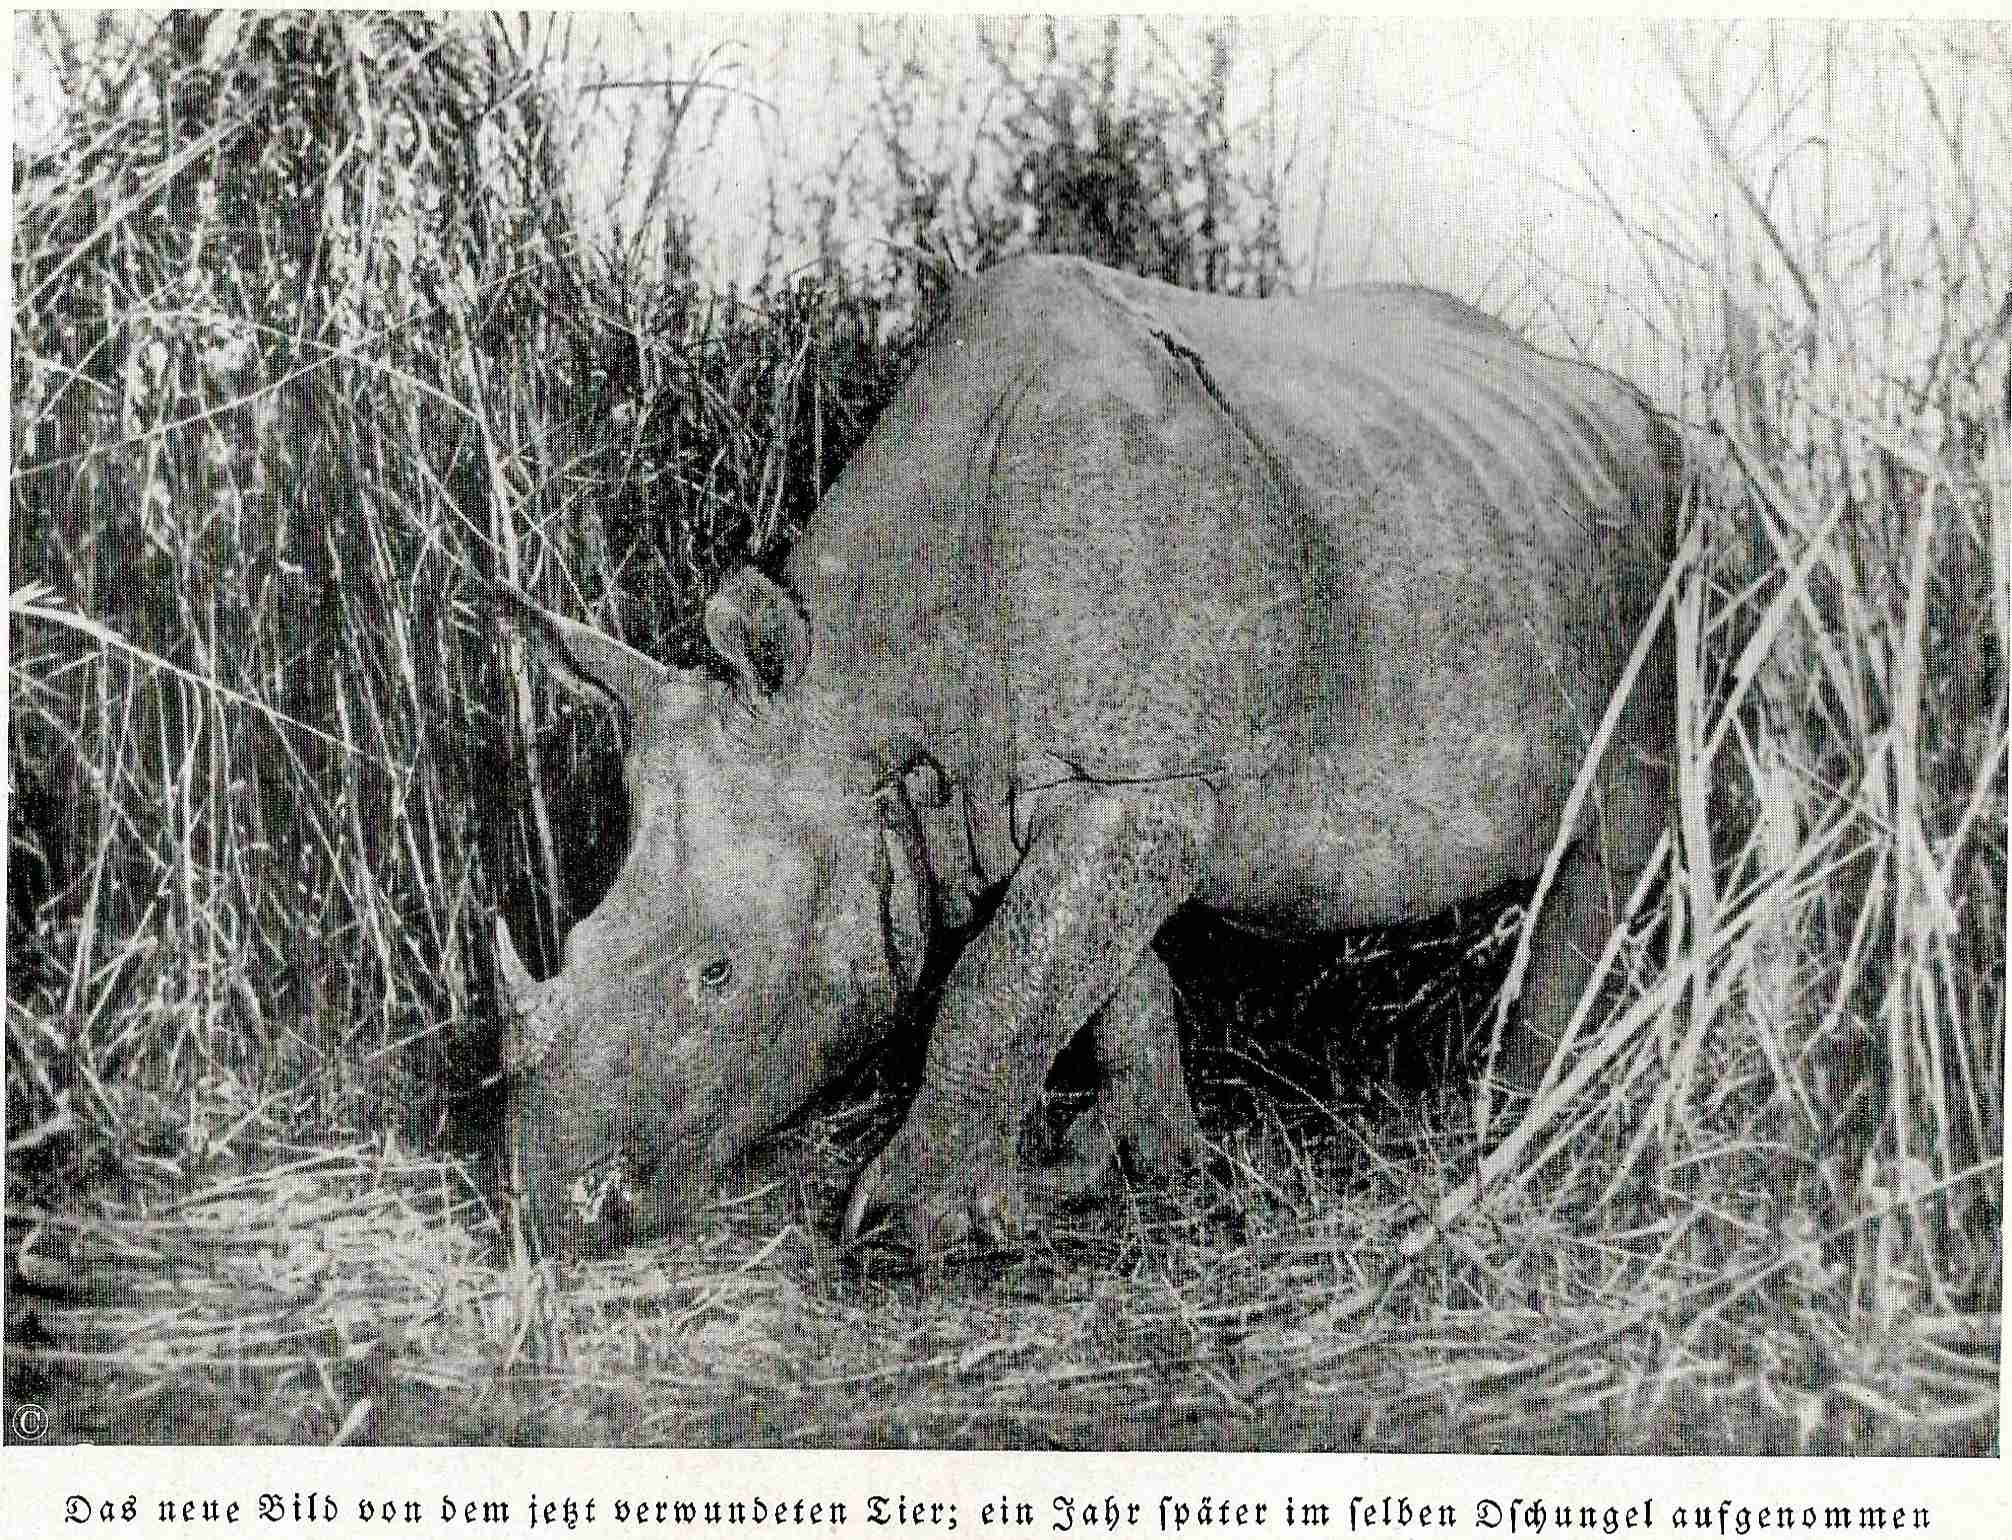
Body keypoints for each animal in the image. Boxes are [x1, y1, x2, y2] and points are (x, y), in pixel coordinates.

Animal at [495, 254, 1677, 1260]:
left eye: (716, 973)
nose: (549, 1213)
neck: (867, 683)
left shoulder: (1146, 788)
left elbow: (995, 980)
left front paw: (908, 1230)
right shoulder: (1104, 789)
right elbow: (1095, 976)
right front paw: (1138, 1168)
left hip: (1671, 544)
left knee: (1620, 822)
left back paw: (1517, 1122)